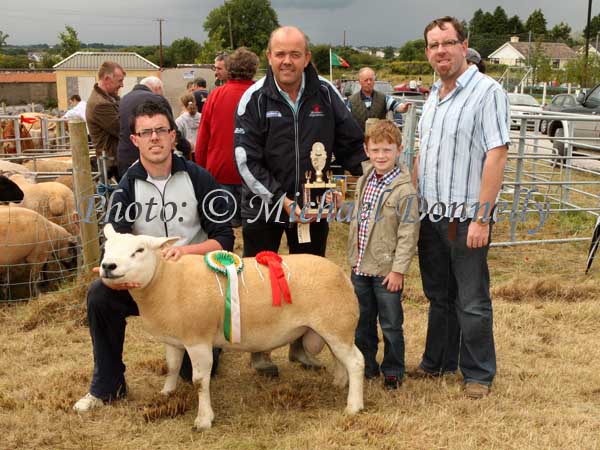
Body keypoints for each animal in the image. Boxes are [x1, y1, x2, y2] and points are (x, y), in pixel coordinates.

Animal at [100, 223, 364, 430]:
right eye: (106, 247)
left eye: (139, 250)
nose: (108, 266)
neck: (165, 279)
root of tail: (342, 274)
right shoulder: (175, 338)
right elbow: (172, 366)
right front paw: (167, 392)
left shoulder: (198, 340)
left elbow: (199, 380)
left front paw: (204, 419)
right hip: (332, 328)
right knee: (340, 358)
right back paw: (340, 382)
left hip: (337, 324)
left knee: (356, 361)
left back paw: (354, 405)